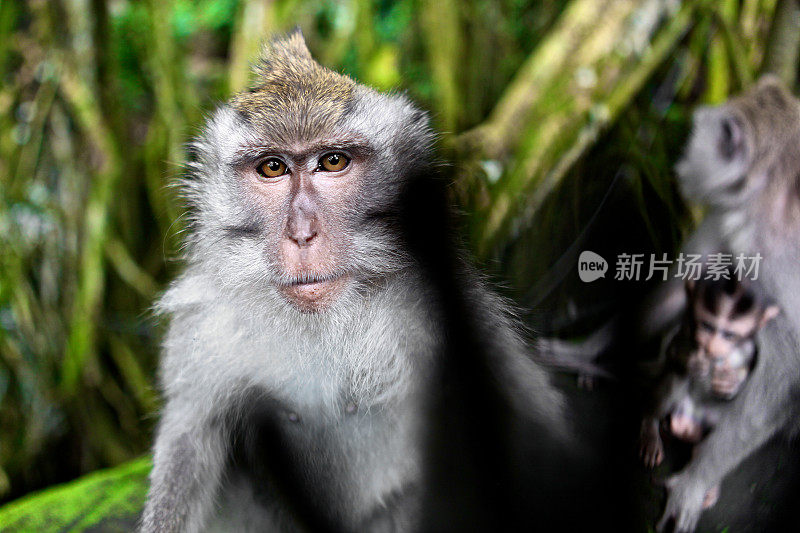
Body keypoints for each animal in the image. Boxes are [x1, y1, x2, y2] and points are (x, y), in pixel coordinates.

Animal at [640, 274, 780, 502]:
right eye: (707, 326)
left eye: (730, 335)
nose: (712, 347)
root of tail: (683, 427)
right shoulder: (688, 326)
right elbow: (673, 351)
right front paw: (694, 362)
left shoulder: (750, 348)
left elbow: (749, 376)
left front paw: (730, 383)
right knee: (675, 378)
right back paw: (651, 428)